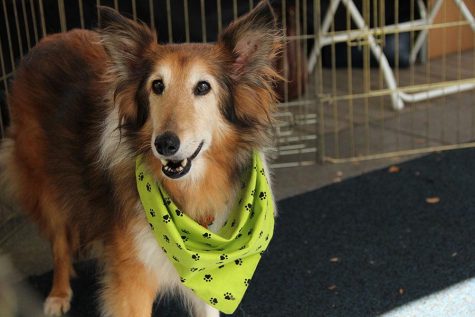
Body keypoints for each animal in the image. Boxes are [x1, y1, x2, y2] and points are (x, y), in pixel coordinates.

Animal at [0, 0, 282, 316]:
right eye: (157, 85)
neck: (189, 194)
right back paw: (58, 295)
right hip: (47, 187)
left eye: (203, 87)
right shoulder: (132, 282)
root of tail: (45, 41)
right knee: (59, 245)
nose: (165, 144)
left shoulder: (204, 276)